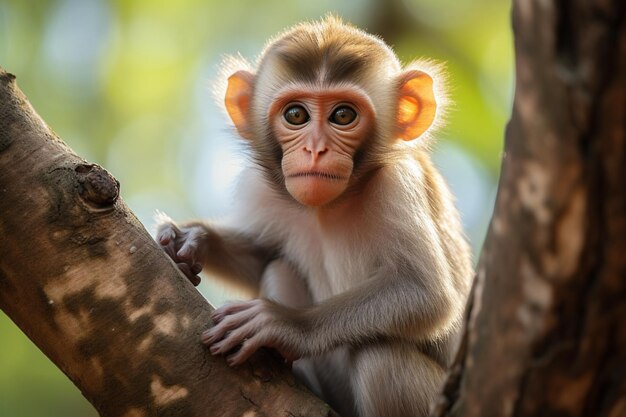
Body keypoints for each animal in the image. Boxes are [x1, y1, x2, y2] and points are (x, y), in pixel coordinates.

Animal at [157, 16, 472, 416]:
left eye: (343, 115)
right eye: (295, 115)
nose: (315, 149)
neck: (327, 208)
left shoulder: (398, 184)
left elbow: (425, 293)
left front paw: (285, 325)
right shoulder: (263, 189)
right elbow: (264, 256)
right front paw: (192, 240)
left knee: (380, 359)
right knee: (280, 269)